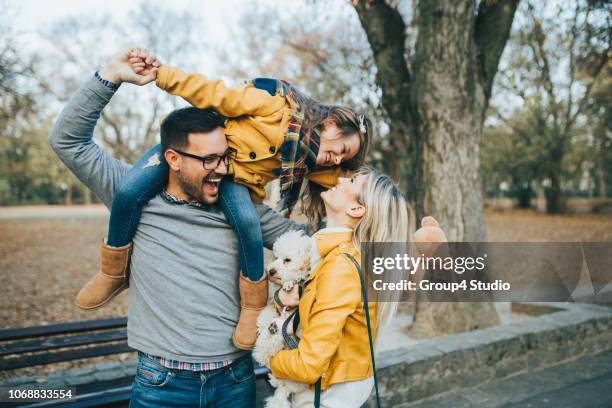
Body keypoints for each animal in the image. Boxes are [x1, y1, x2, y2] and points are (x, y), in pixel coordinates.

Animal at [252, 231, 310, 406]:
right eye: (275, 257)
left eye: (287, 260)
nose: (271, 271)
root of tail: (286, 388)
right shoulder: (272, 303)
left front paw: (290, 283)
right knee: (266, 350)